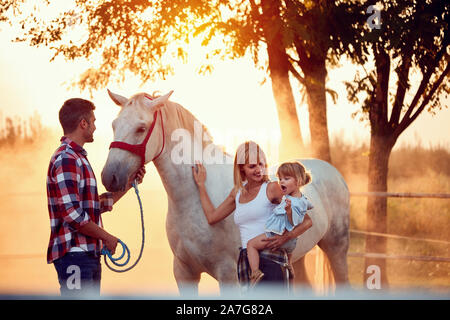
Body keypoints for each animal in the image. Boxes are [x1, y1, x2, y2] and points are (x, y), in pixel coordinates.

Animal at [102, 90, 352, 296]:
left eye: (141, 128)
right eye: (114, 125)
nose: (109, 177)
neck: (193, 201)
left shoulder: (229, 274)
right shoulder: (184, 273)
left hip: (337, 249)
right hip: (294, 257)